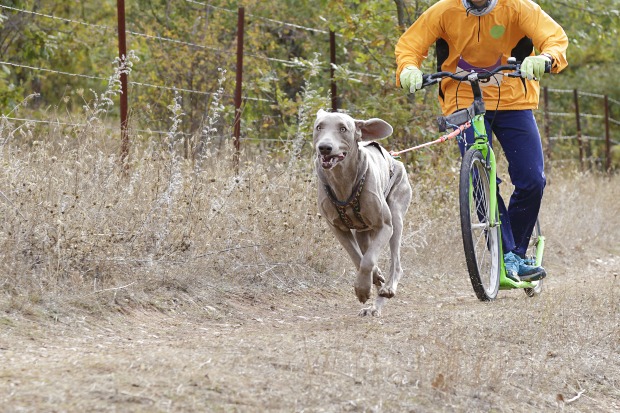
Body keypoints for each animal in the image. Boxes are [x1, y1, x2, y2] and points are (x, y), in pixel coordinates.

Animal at [314, 109, 412, 316]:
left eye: (343, 128)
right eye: (319, 127)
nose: (324, 147)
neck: (342, 181)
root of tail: (396, 159)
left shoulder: (385, 226)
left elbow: (368, 261)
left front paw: (362, 289)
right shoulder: (337, 228)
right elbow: (358, 258)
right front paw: (369, 281)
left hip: (396, 212)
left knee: (396, 263)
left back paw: (387, 289)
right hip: (362, 233)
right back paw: (374, 301)